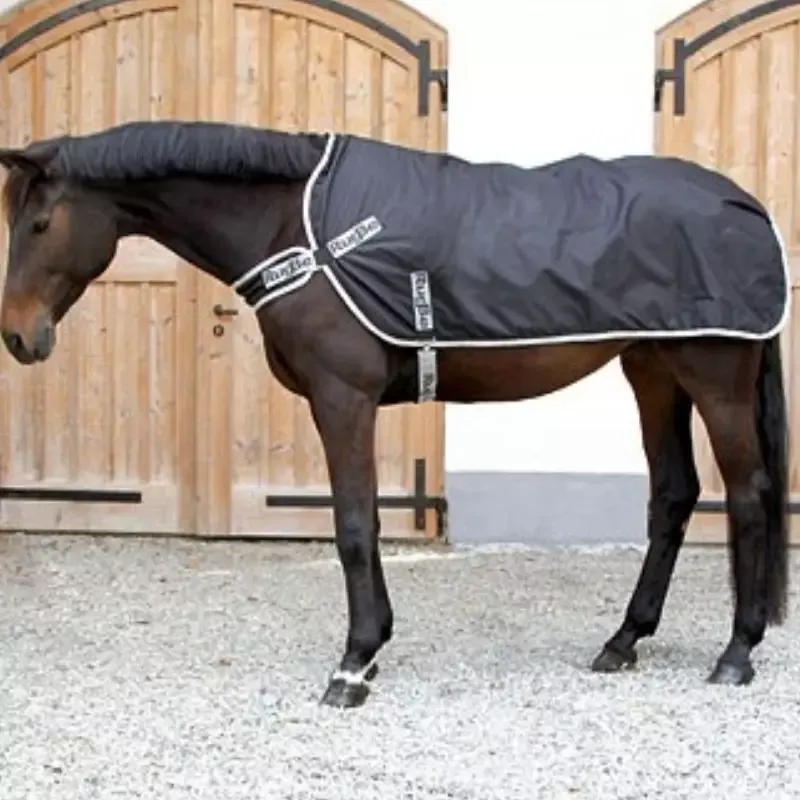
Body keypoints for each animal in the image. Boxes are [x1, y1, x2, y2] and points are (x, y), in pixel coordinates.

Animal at [0, 120, 790, 709]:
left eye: (39, 223)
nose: (18, 336)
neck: (295, 224)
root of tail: (745, 207)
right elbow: (364, 523)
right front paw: (372, 647)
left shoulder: (342, 397)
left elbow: (355, 526)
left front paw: (353, 665)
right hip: (652, 369)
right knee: (674, 495)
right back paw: (623, 641)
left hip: (713, 375)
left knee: (748, 494)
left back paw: (736, 653)